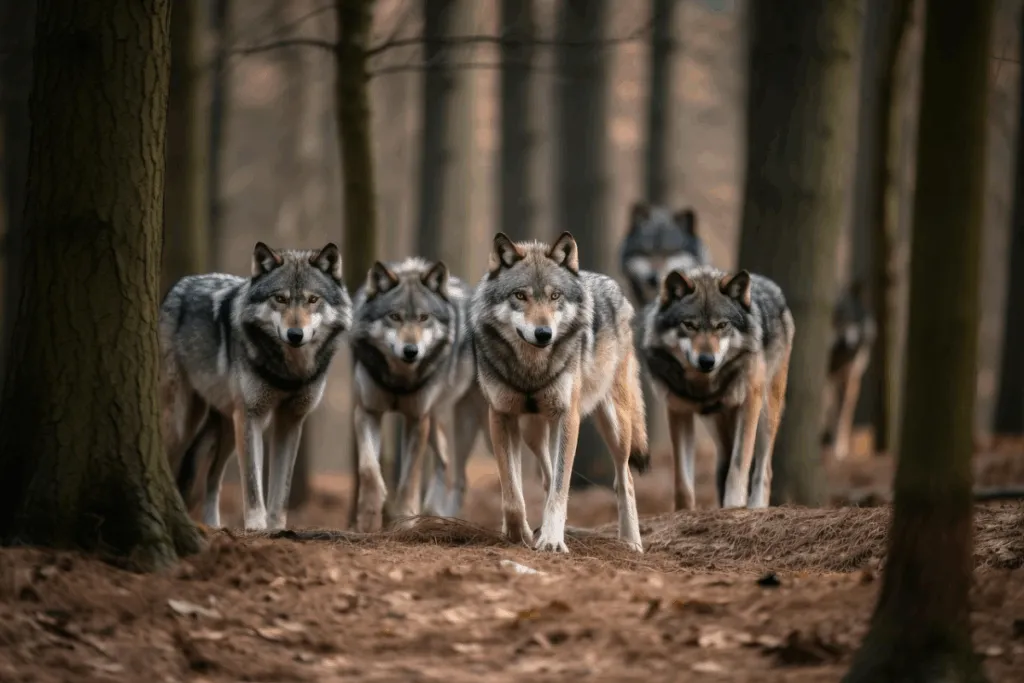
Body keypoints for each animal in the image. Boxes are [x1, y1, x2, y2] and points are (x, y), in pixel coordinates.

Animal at [161, 242, 352, 531]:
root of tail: (179, 286)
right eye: (280, 299)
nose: (295, 335)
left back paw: (214, 525)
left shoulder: (290, 420)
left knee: (212, 478)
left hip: (227, 428)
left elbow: (281, 488)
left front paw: (277, 528)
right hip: (184, 422)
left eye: (312, 300)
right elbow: (252, 482)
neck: (289, 371)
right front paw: (255, 526)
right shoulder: (251, 416)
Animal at [348, 257, 487, 532]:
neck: (400, 380)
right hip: (439, 424)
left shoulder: (416, 419)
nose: (411, 351)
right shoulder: (368, 411)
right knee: (447, 466)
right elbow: (369, 470)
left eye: (424, 318)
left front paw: (405, 521)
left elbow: (409, 478)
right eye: (395, 317)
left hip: (468, 425)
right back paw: (435, 514)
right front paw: (368, 520)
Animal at [470, 232, 647, 554]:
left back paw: (631, 542)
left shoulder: (567, 416)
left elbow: (560, 487)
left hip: (614, 425)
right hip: (533, 431)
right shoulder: (501, 415)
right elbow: (512, 491)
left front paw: (552, 541)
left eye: (555, 297)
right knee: (547, 475)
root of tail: (611, 284)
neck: (532, 369)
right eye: (520, 296)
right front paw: (518, 533)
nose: (544, 334)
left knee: (624, 478)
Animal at [641, 266, 794, 510]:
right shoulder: (678, 411)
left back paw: (756, 506)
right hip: (716, 424)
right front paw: (684, 512)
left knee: (764, 470)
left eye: (722, 325)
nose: (706, 361)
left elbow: (739, 464)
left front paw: (734, 506)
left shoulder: (749, 404)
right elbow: (682, 481)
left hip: (766, 414)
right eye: (689, 325)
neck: (704, 385)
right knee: (724, 461)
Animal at [822, 281, 876, 460]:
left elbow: (843, 416)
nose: (848, 344)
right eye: (835, 318)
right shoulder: (826, 380)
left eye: (851, 318)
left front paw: (840, 448)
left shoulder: (849, 379)